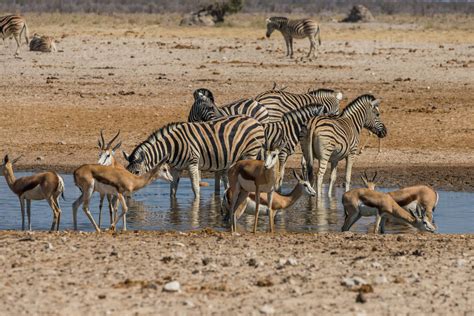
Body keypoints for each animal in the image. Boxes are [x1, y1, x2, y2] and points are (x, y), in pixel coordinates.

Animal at [125, 115, 266, 199]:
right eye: (127, 171)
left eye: (137, 172)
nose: (126, 193)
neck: (172, 146)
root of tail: (255, 120)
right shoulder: (176, 168)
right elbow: (173, 189)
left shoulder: (192, 163)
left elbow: (195, 187)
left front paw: (196, 203)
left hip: (251, 152)